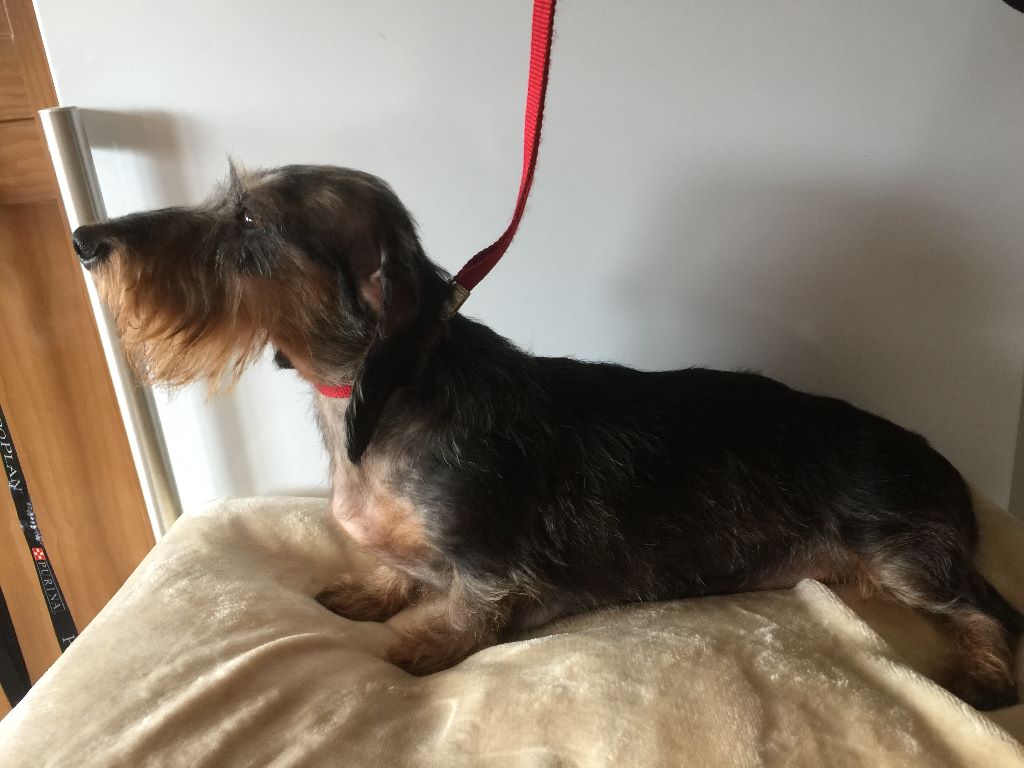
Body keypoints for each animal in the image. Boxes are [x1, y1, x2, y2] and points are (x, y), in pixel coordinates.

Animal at [72, 164, 1023, 711]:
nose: (84, 238)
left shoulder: (499, 567)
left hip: (904, 552)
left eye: (249, 224)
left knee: (990, 614)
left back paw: (981, 674)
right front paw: (374, 589)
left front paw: (423, 640)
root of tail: (948, 469)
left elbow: (470, 605)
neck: (383, 401)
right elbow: (392, 569)